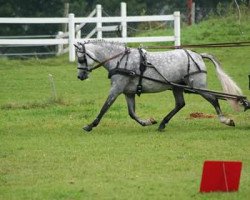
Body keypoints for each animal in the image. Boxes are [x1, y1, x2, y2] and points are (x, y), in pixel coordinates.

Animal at [74, 40, 244, 131]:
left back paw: (225, 120)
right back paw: (162, 124)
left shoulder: (116, 89)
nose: (80, 76)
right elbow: (132, 113)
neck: (120, 60)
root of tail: (197, 55)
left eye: (81, 58)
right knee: (180, 104)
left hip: (198, 86)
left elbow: (105, 107)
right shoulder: (128, 92)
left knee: (213, 99)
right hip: (177, 87)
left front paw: (90, 125)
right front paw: (147, 122)